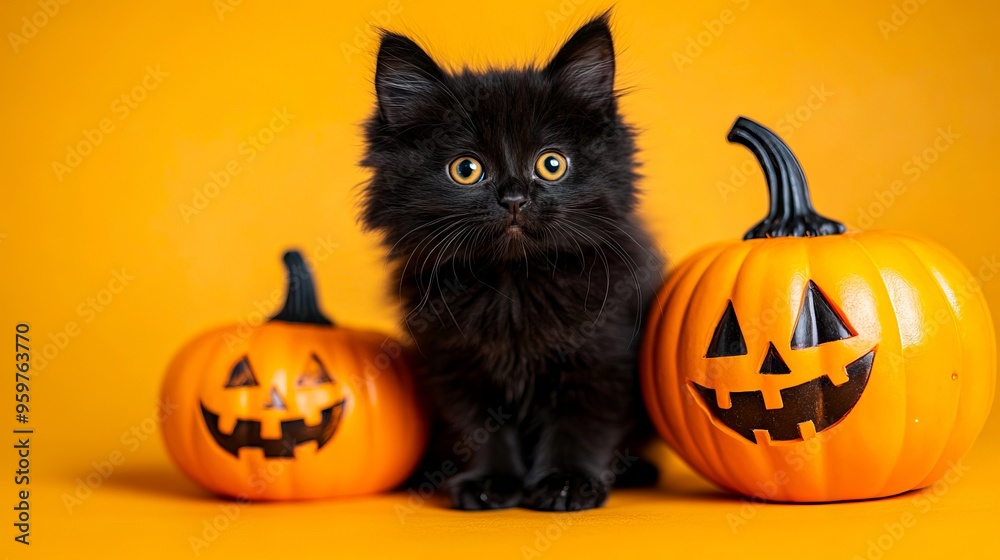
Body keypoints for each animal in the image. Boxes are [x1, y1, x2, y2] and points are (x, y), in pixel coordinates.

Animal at [362, 14, 664, 512]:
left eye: (552, 164)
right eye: (466, 169)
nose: (515, 198)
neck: (513, 284)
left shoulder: (603, 355)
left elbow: (580, 426)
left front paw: (565, 482)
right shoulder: (455, 366)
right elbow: (478, 431)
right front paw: (490, 482)